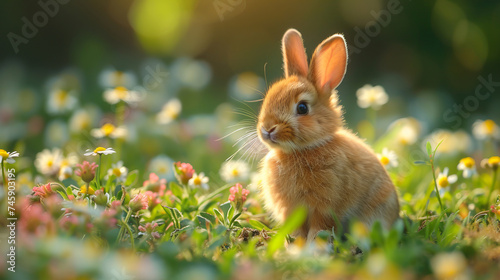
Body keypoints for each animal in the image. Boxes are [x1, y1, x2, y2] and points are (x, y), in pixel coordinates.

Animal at [256, 29, 400, 243]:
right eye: (267, 100)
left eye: (302, 108)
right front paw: (295, 243)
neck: (302, 150)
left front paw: (314, 245)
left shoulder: (324, 205)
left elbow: (320, 225)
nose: (267, 129)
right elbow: (297, 229)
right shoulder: (291, 209)